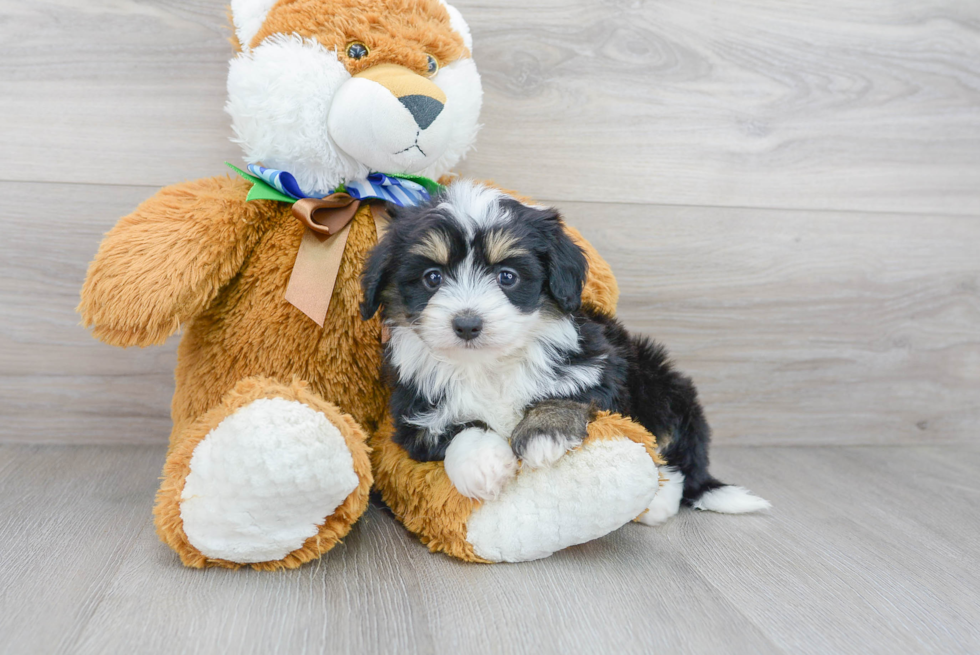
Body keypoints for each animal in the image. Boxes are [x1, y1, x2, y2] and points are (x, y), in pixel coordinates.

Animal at [360, 181, 764, 524]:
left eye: (508, 277)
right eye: (432, 277)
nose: (467, 324)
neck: (489, 365)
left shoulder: (598, 366)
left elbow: (567, 395)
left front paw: (544, 433)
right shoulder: (414, 410)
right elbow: (457, 427)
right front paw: (483, 465)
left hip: (658, 382)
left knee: (672, 452)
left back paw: (659, 500)